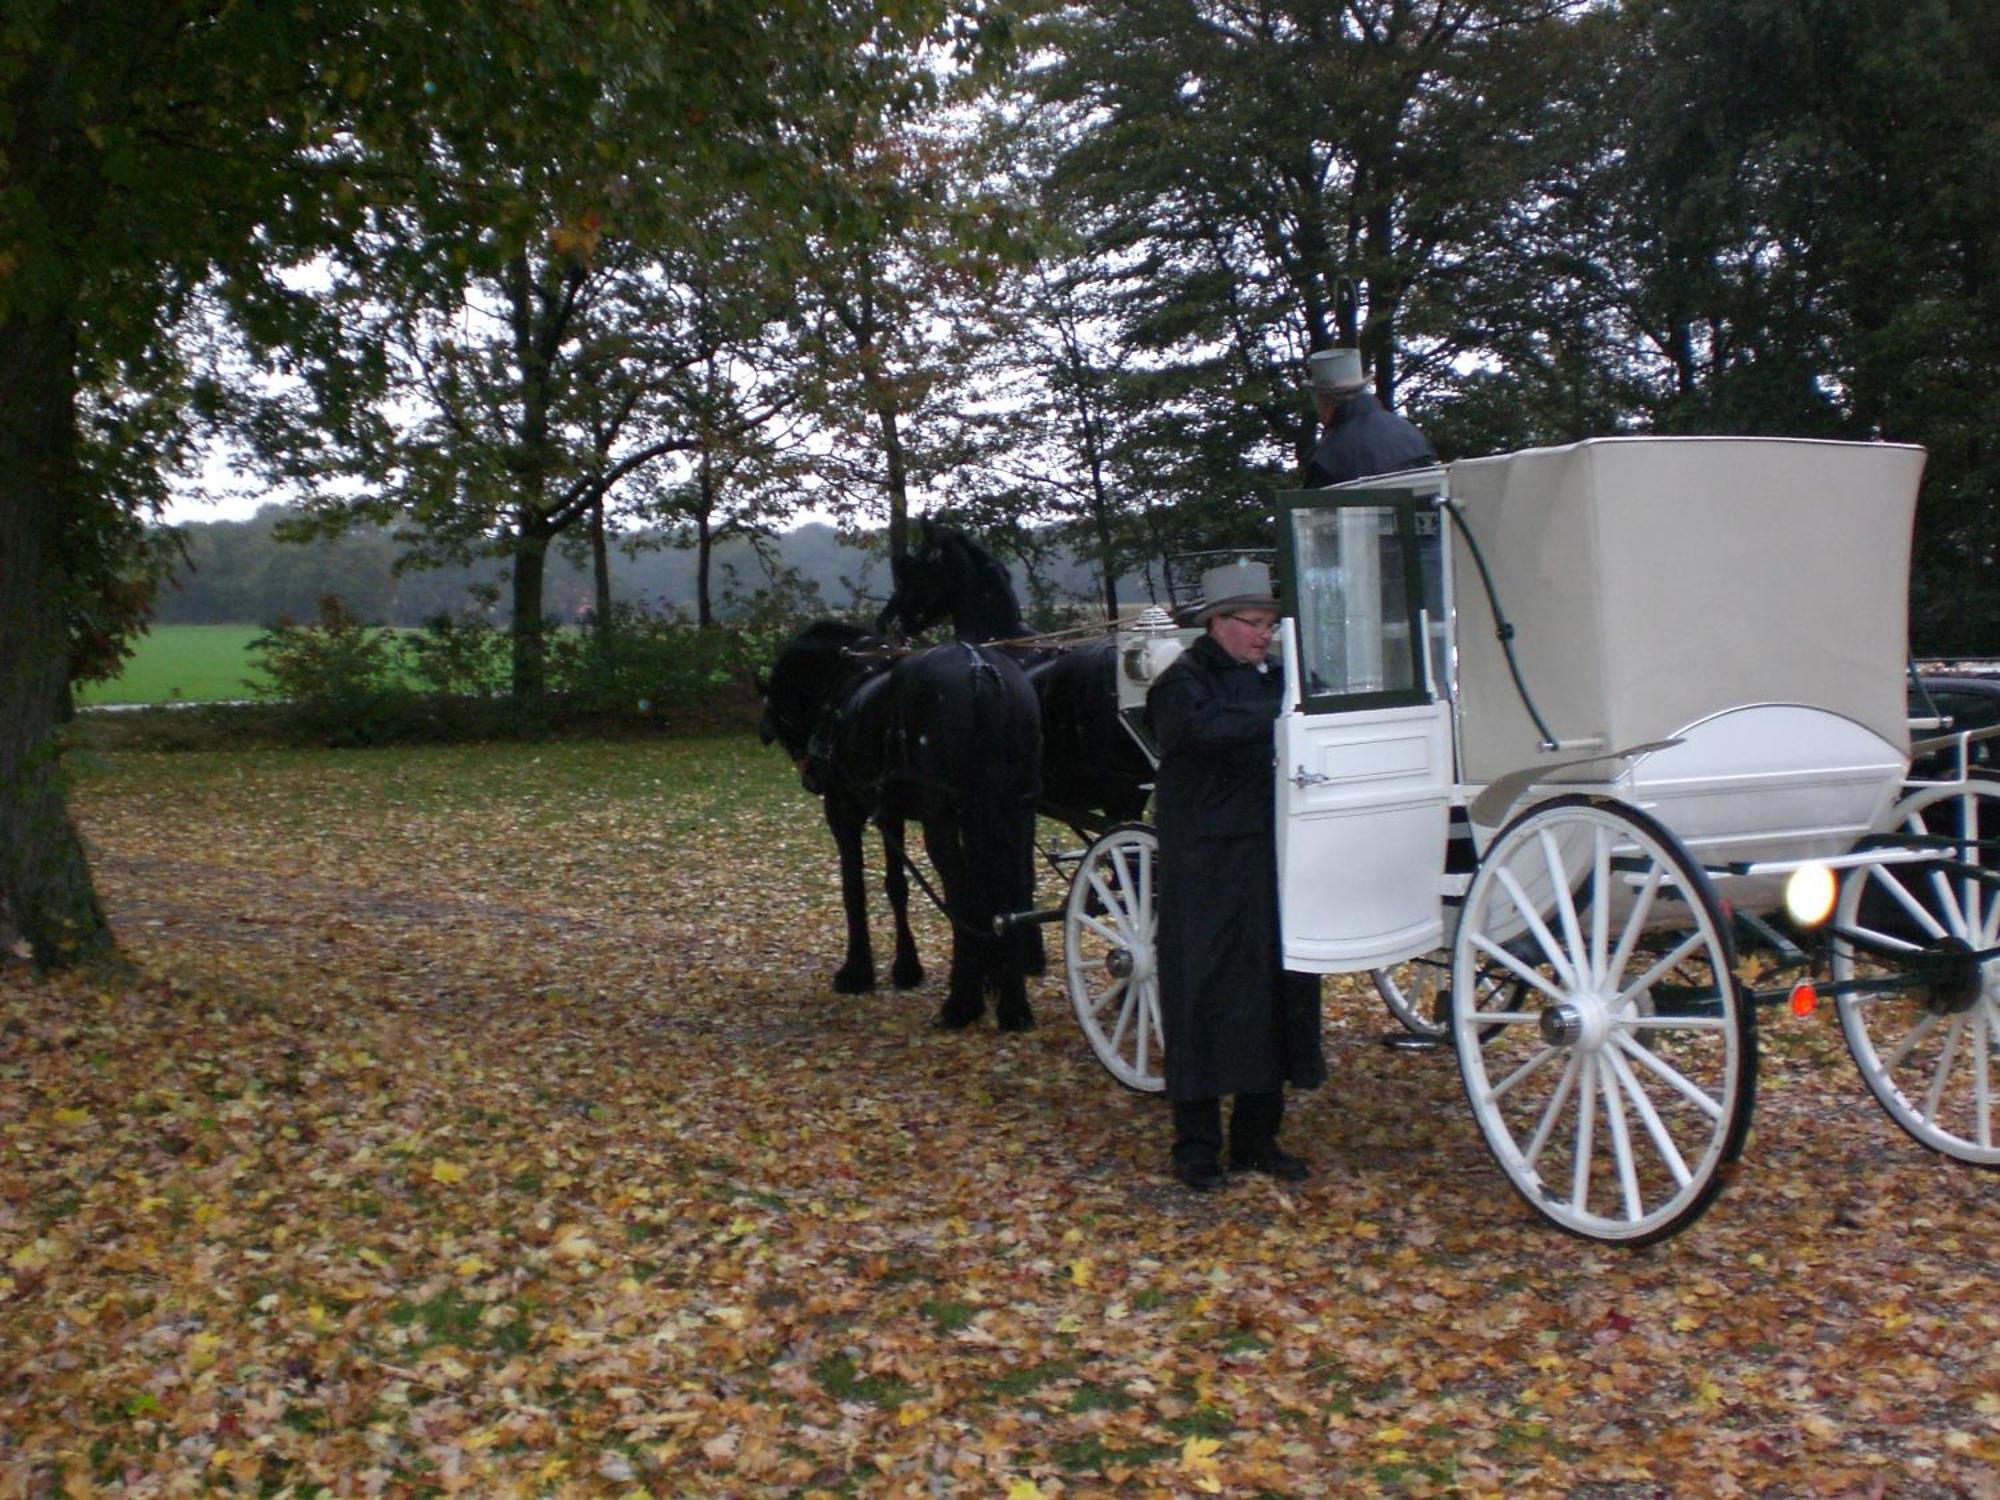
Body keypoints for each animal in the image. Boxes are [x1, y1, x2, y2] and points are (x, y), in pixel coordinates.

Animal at [760, 624, 1048, 1032]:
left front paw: (857, 971)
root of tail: (980, 668)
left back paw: (962, 1003)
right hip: (1016, 810)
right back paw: (1014, 1005)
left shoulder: (843, 811)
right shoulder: (890, 814)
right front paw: (907, 966)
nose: (811, 776)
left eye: (783, 717)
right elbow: (896, 887)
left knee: (963, 897)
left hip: (943, 820)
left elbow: (853, 890)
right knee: (1016, 890)